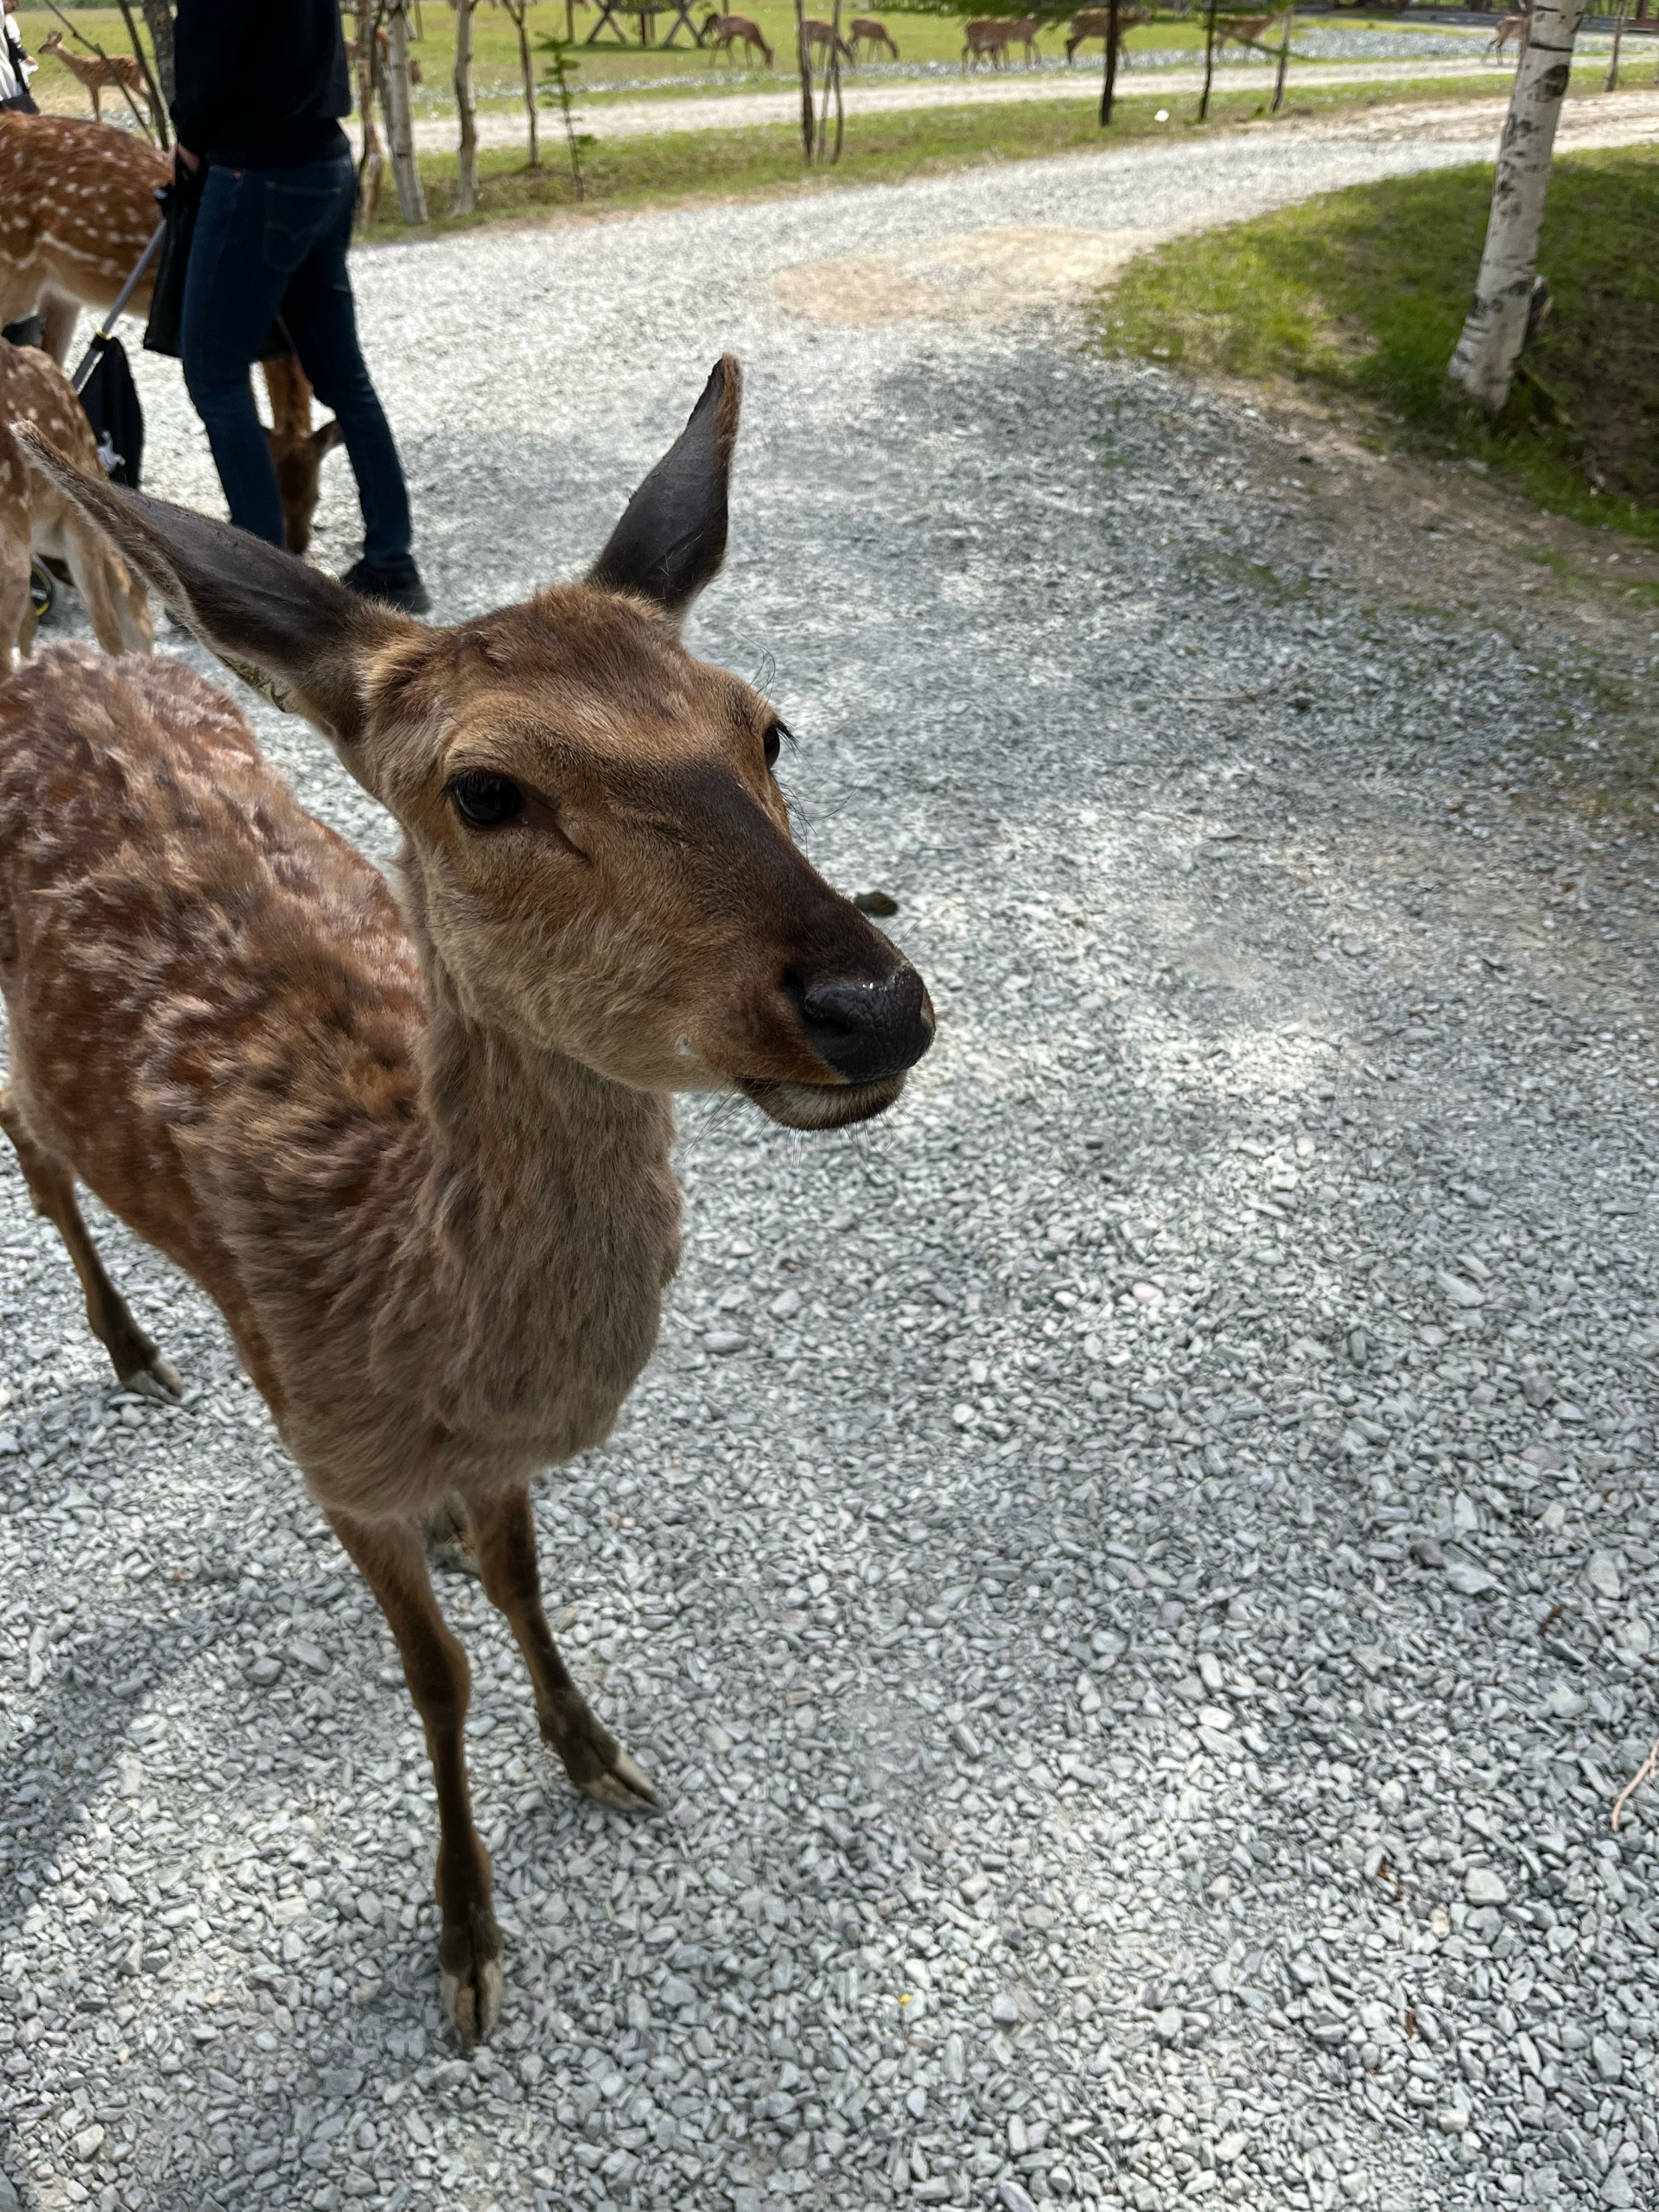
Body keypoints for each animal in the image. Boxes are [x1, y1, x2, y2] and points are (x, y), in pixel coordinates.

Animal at [35, 28, 156, 129]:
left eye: (49, 45)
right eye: (45, 43)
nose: (39, 50)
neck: (78, 65)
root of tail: (141, 65)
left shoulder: (94, 83)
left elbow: (96, 106)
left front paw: (98, 124)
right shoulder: (92, 85)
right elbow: (95, 105)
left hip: (133, 80)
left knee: (149, 96)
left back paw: (151, 124)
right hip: (137, 80)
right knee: (149, 95)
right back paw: (151, 124)